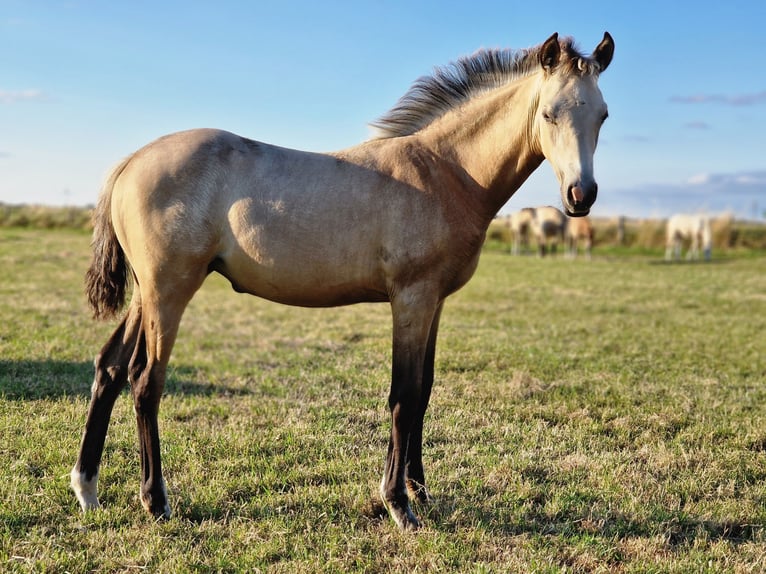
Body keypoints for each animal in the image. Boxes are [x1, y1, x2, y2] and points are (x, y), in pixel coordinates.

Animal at [71, 32, 614, 531]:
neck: (445, 170)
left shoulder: (434, 302)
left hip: (145, 296)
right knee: (146, 380)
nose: (581, 195)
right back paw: (155, 501)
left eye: (603, 115)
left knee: (110, 368)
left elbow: (425, 390)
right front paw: (399, 505)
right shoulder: (411, 300)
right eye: (549, 114)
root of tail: (131, 162)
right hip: (169, 292)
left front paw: (421, 492)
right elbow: (404, 395)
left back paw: (87, 488)